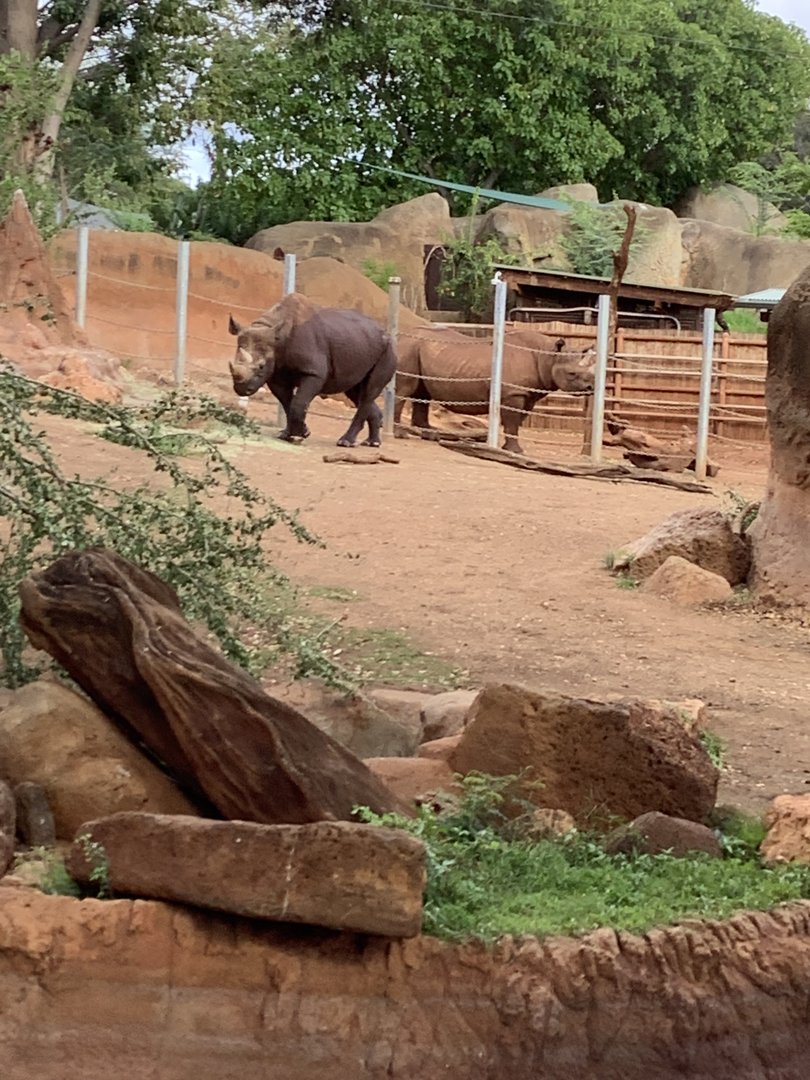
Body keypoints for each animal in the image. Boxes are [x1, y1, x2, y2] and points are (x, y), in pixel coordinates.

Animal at [395, 325, 596, 453]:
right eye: (572, 374)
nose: (590, 387)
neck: (546, 357)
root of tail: (399, 336)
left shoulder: (526, 394)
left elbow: (515, 421)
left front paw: (508, 448)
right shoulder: (513, 393)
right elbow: (512, 421)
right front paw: (516, 451)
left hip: (418, 350)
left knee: (422, 394)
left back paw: (430, 435)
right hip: (409, 348)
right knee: (405, 390)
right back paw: (400, 435)